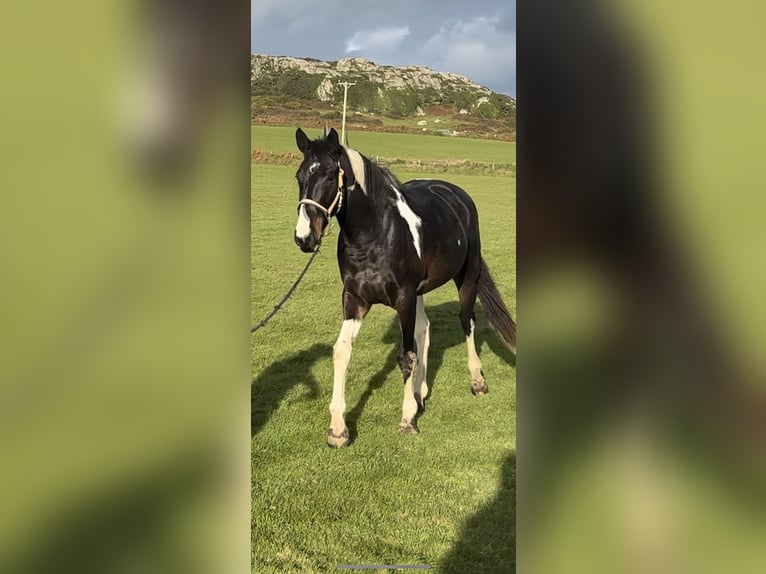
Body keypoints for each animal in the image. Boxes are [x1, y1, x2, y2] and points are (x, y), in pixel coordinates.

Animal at [293, 127, 516, 447]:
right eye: (300, 177)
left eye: (329, 176)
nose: (304, 238)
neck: (375, 234)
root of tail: (456, 194)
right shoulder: (355, 300)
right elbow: (341, 351)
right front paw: (337, 429)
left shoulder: (404, 299)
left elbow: (406, 356)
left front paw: (407, 419)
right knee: (425, 328)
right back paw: (421, 392)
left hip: (467, 276)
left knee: (467, 321)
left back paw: (477, 381)